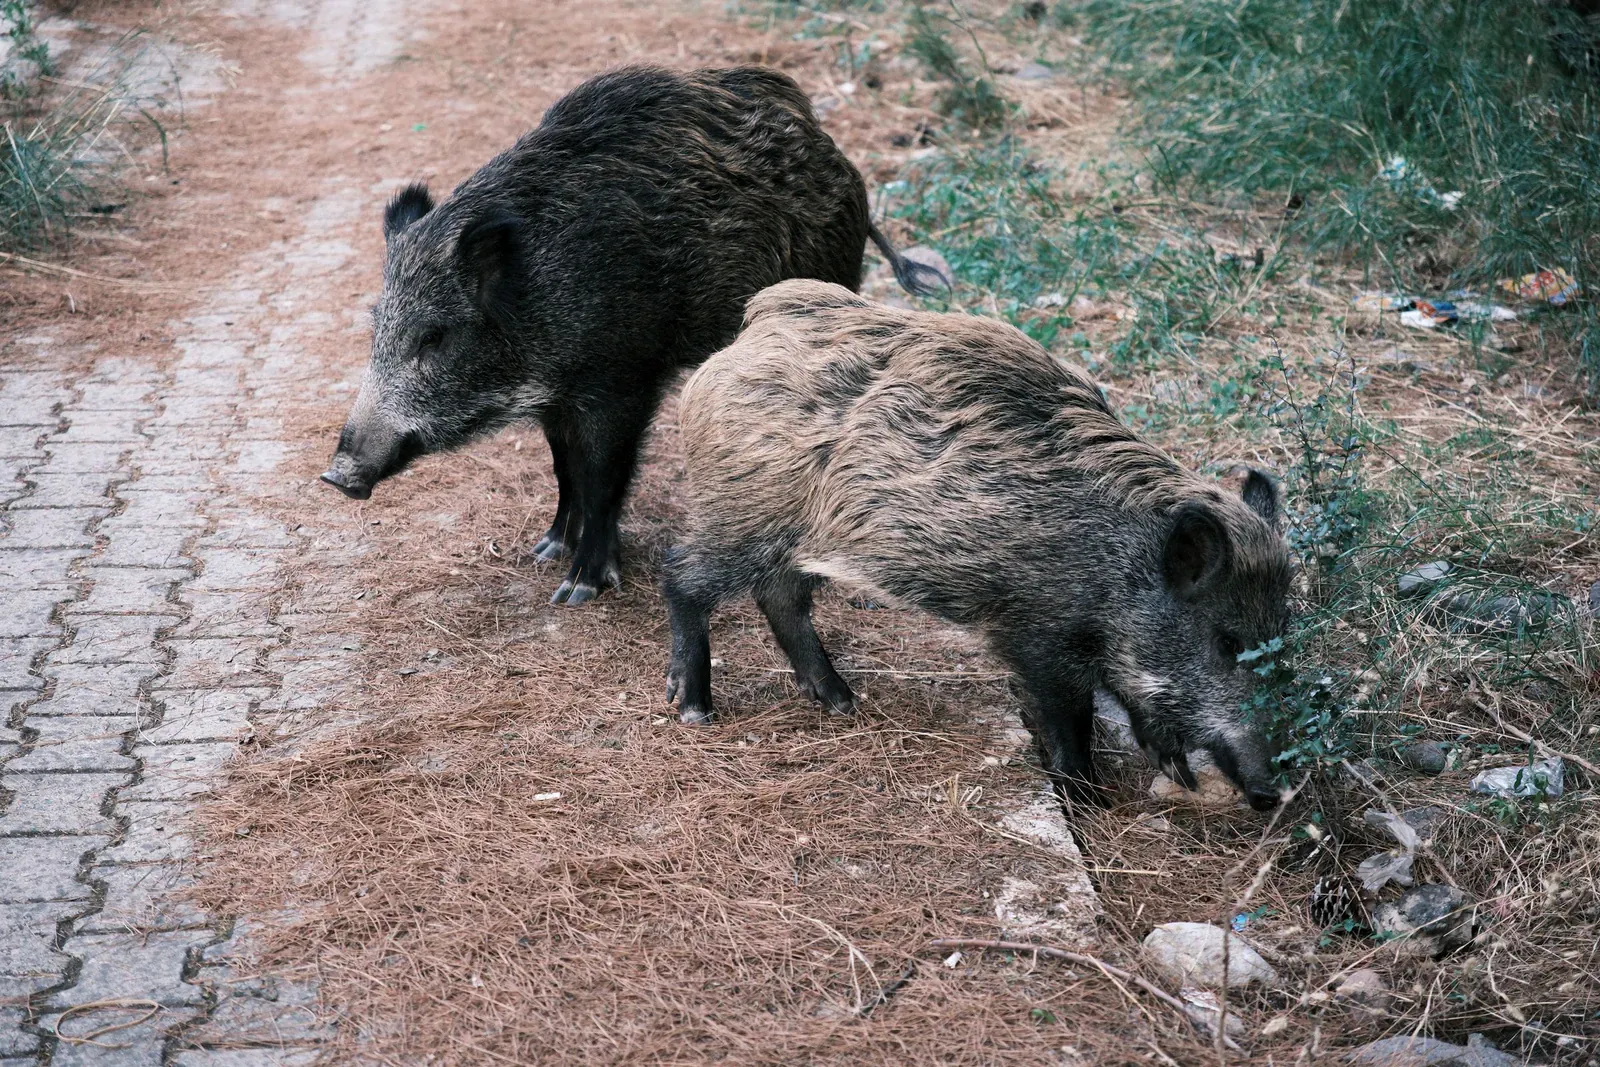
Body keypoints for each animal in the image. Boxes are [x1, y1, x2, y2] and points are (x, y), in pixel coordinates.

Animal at [320, 65, 942, 604]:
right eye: (378, 324)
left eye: (434, 337)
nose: (336, 476)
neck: (544, 293)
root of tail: (841, 161)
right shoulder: (556, 394)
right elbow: (563, 466)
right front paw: (547, 548)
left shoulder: (620, 379)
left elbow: (601, 477)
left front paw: (577, 589)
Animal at [663, 280, 1293, 810]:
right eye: (1227, 642)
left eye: (1283, 635)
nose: (1275, 793)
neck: (1117, 565)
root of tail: (754, 326)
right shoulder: (1035, 632)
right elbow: (1070, 718)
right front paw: (1087, 799)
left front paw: (1176, 771)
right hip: (738, 513)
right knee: (683, 576)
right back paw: (694, 709)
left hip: (788, 536)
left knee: (780, 598)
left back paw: (842, 700)